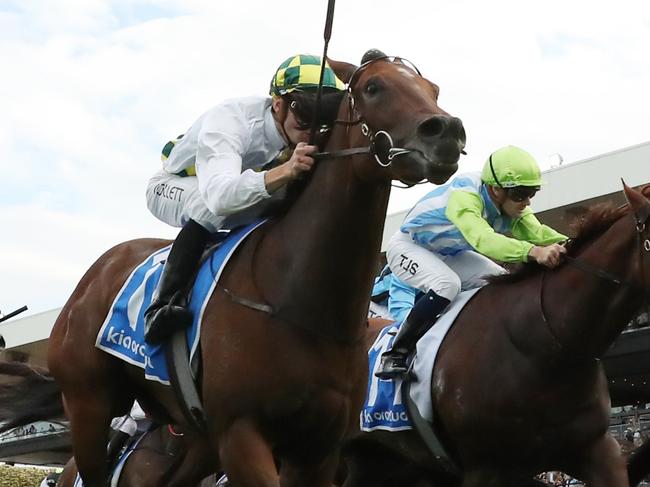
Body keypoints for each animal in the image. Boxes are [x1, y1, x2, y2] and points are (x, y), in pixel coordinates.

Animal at [44, 50, 466, 487]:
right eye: (373, 86)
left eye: (433, 89)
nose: (447, 131)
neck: (299, 300)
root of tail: (99, 269)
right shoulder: (240, 432)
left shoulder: (319, 446)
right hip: (87, 402)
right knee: (203, 208)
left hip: (196, 441)